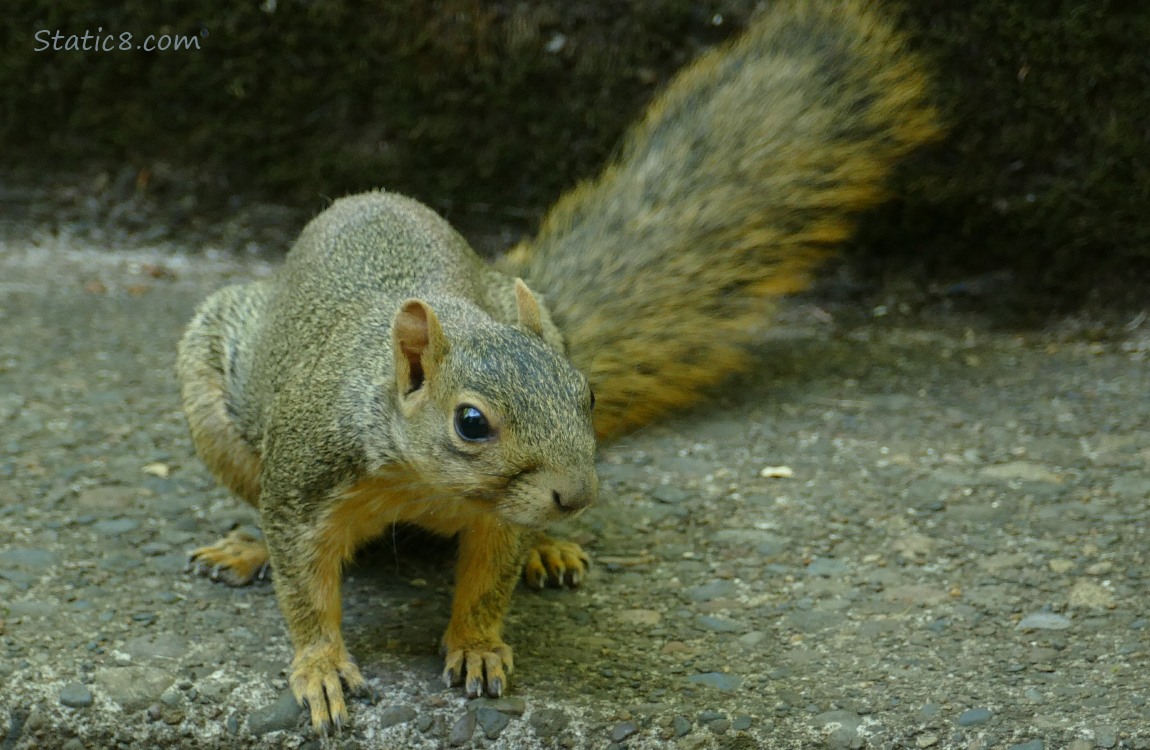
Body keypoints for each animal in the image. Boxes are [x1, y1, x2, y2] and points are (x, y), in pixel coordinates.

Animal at [176, 0, 940, 734]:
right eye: (471, 422)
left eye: (587, 394)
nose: (575, 495)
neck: (425, 484)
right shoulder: (306, 483)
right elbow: (304, 590)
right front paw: (321, 668)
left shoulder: (501, 519)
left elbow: (490, 581)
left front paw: (478, 644)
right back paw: (244, 549)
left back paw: (551, 551)